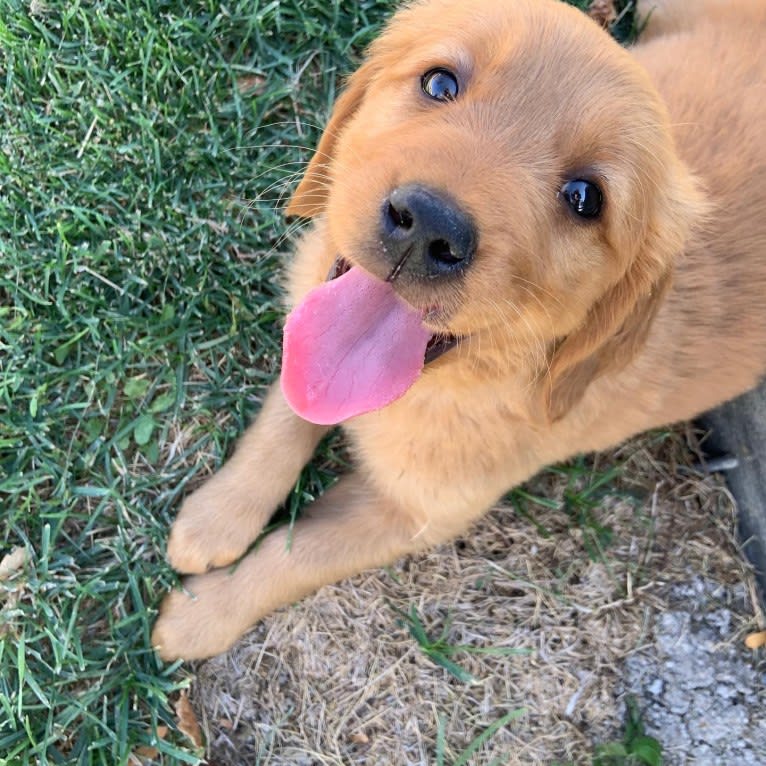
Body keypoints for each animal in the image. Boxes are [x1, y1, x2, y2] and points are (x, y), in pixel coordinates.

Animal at [153, 0, 766, 660]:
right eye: (440, 83)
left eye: (585, 198)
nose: (429, 226)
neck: (457, 380)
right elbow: (287, 415)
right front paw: (216, 518)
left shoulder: (418, 515)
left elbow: (296, 558)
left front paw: (201, 615)